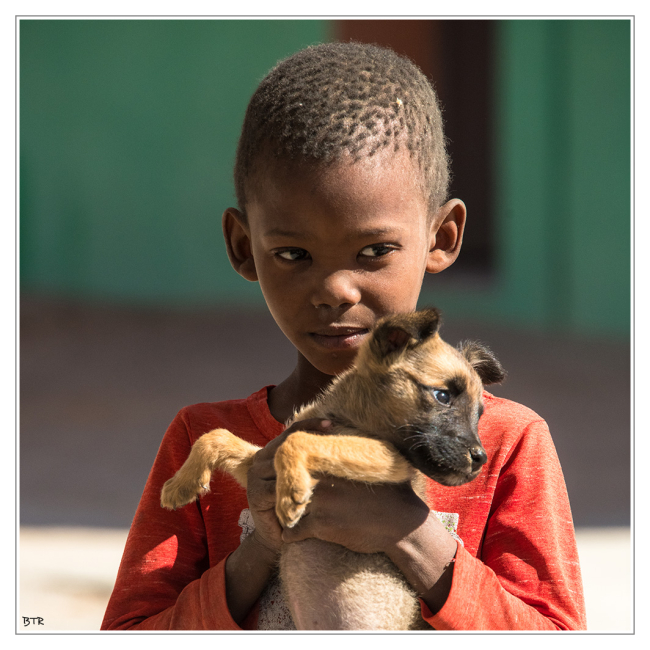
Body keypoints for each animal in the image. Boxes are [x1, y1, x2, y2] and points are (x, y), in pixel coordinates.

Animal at [159, 308, 504, 628]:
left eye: (480, 414)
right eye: (442, 396)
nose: (480, 458)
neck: (346, 413)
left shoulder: (394, 460)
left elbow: (298, 439)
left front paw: (291, 493)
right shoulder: (260, 463)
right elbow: (215, 435)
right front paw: (180, 486)